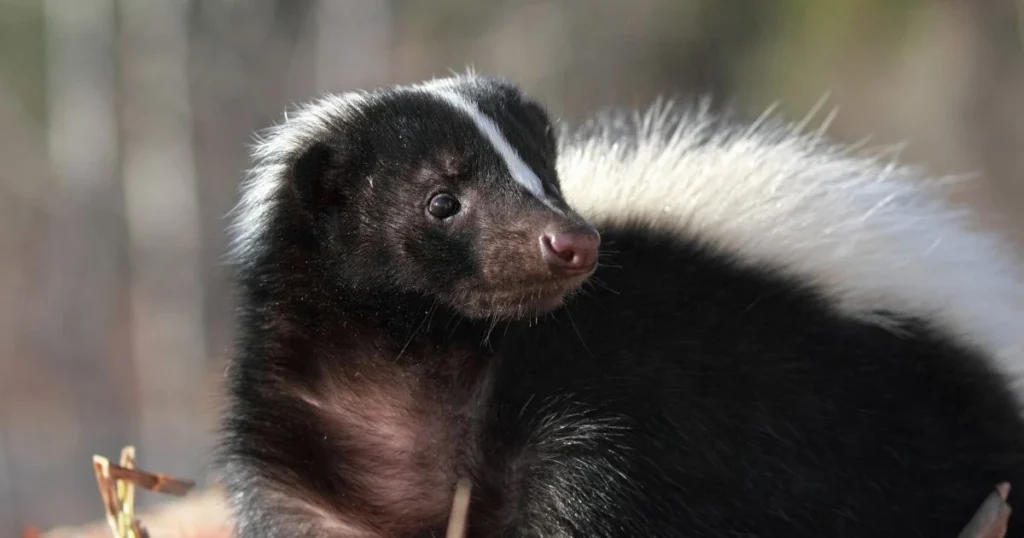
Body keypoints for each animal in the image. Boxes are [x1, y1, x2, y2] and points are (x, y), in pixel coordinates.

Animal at [220, 72, 1024, 536]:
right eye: (441, 201)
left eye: (549, 177)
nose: (572, 239)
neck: (421, 366)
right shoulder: (308, 472)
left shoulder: (606, 408)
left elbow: (588, 510)